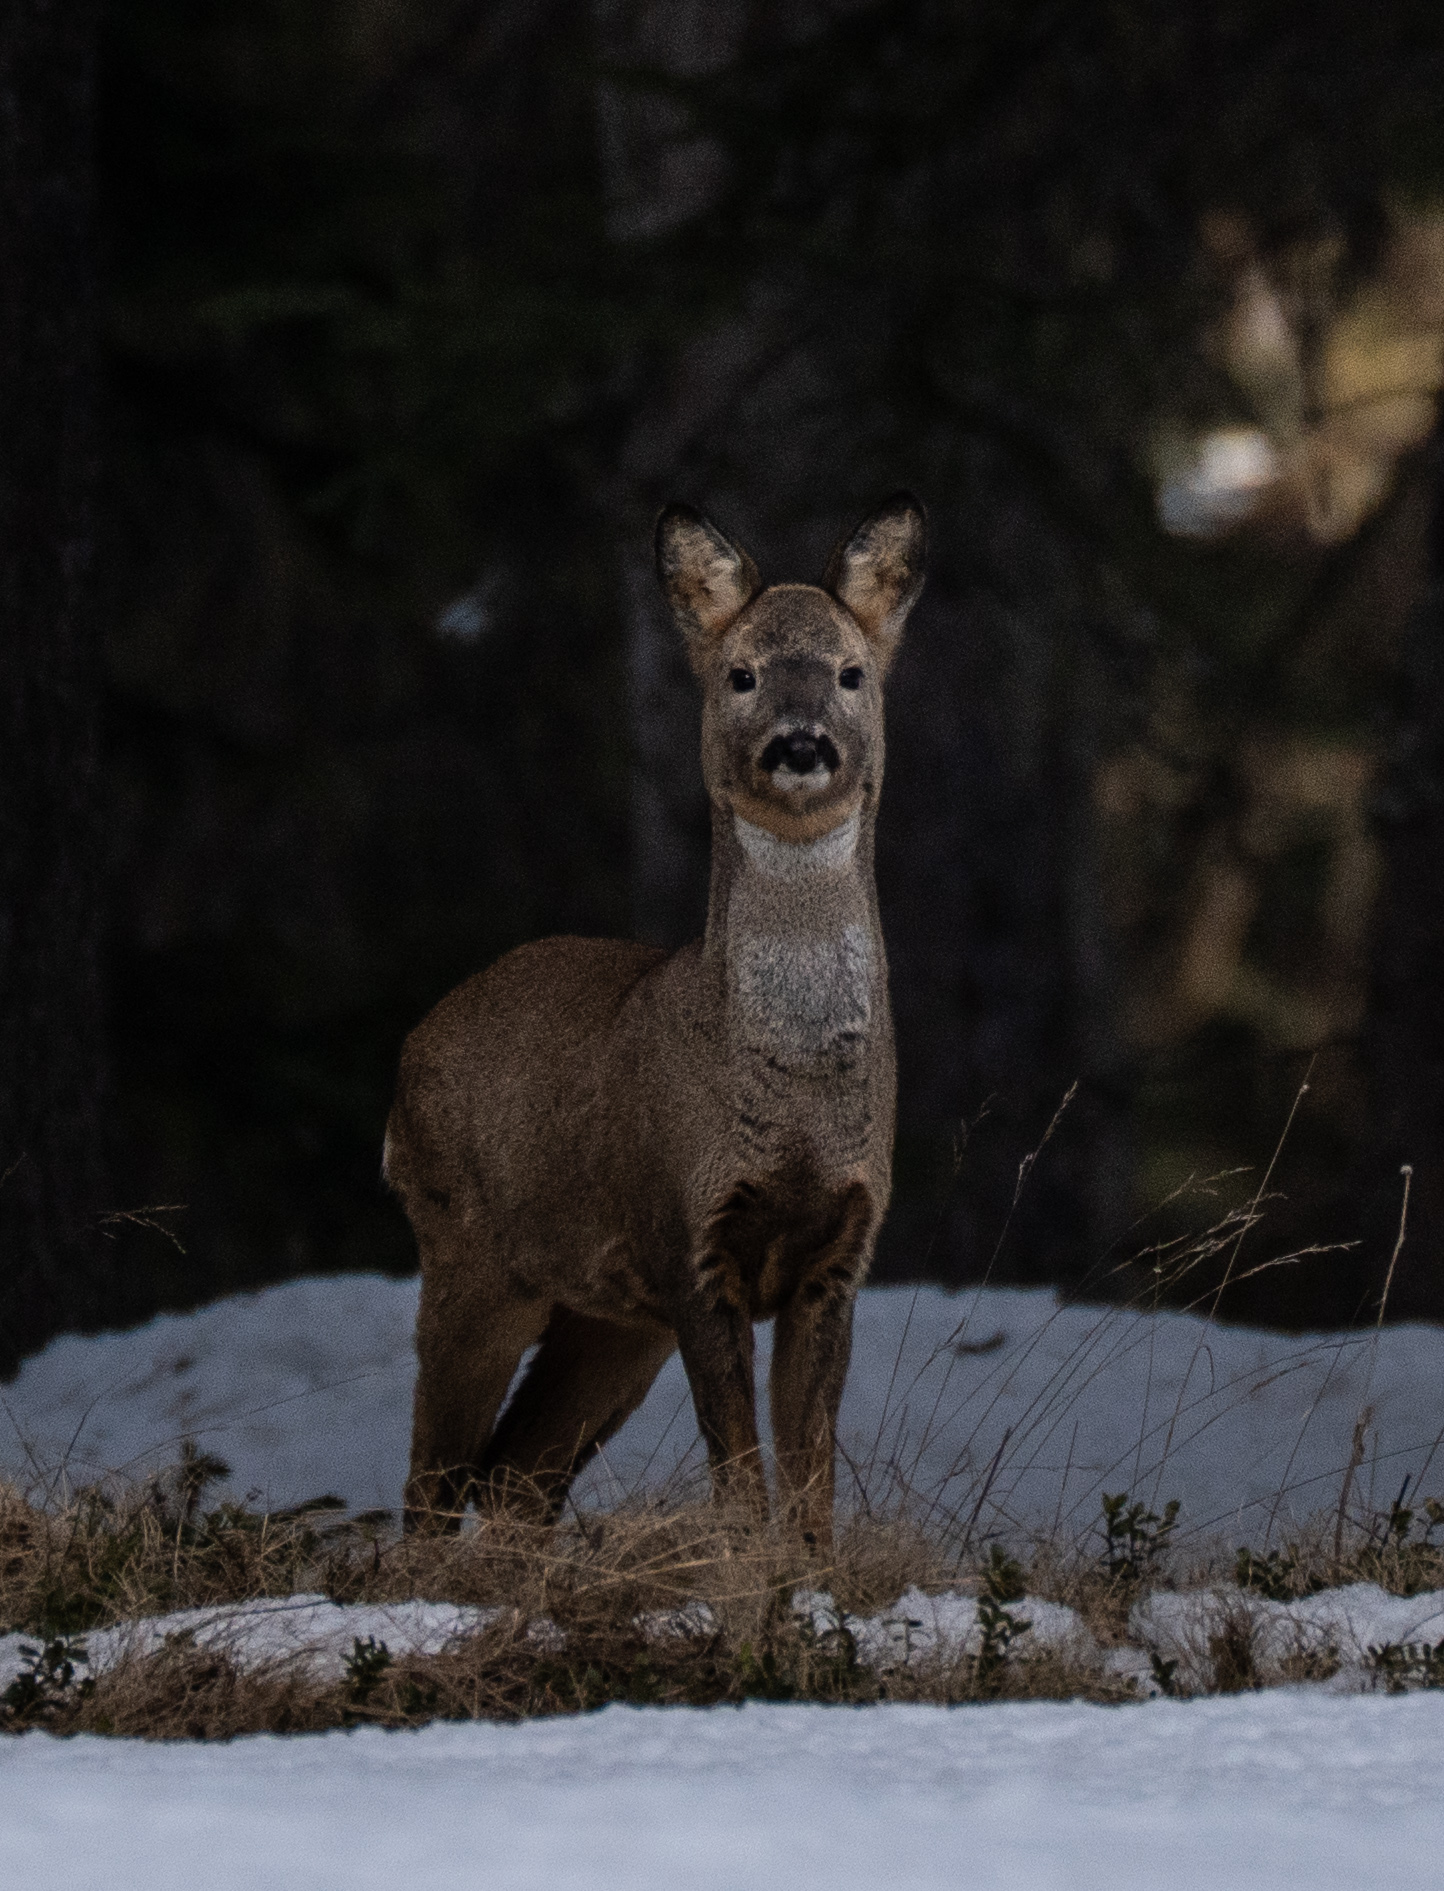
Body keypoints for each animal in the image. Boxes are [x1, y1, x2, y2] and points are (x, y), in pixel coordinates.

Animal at [383, 492, 927, 1551]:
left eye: (851, 671)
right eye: (740, 673)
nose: (801, 741)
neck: (795, 1102)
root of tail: (407, 1059)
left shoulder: (841, 1253)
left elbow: (810, 1469)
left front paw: (813, 1571)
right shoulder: (690, 1237)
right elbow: (740, 1466)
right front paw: (749, 1566)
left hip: (608, 1318)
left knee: (514, 1478)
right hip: (469, 1252)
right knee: (433, 1483)